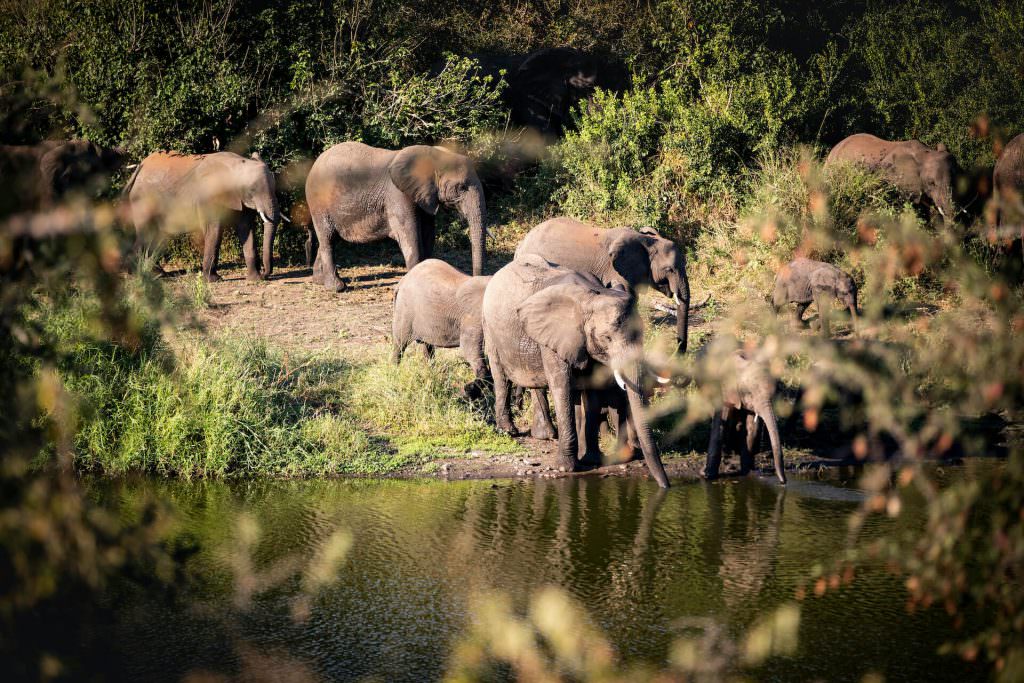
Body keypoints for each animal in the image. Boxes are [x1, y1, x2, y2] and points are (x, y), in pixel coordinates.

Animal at [124, 151, 282, 282]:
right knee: (146, 235)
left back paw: (157, 274)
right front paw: (213, 280)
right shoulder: (209, 197)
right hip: (142, 201)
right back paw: (136, 274)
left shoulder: (240, 199)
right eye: (252, 189)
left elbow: (246, 229)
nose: (265, 274)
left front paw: (255, 279)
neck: (236, 164)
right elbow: (214, 231)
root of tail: (140, 167)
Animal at [305, 142, 487, 292]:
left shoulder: (424, 196)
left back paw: (319, 281)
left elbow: (428, 234)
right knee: (328, 238)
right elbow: (410, 236)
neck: (434, 156)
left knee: (330, 238)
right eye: (461, 187)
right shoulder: (398, 195)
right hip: (318, 203)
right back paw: (337, 287)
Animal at [392, 258, 491, 393]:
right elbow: (469, 349)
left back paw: (430, 375)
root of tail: (402, 280)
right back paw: (394, 374)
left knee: (427, 347)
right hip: (405, 311)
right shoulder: (474, 317)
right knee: (400, 344)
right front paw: (470, 391)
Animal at [481, 254, 670, 487]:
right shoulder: (555, 336)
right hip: (490, 328)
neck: (591, 295)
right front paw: (566, 468)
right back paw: (509, 430)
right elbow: (561, 386)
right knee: (501, 378)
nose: (666, 486)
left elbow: (592, 393)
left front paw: (591, 460)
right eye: (606, 338)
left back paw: (544, 435)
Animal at [703, 350, 786, 485]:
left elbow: (752, 428)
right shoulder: (725, 390)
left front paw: (747, 473)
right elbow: (721, 424)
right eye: (749, 393)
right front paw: (707, 476)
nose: (783, 482)